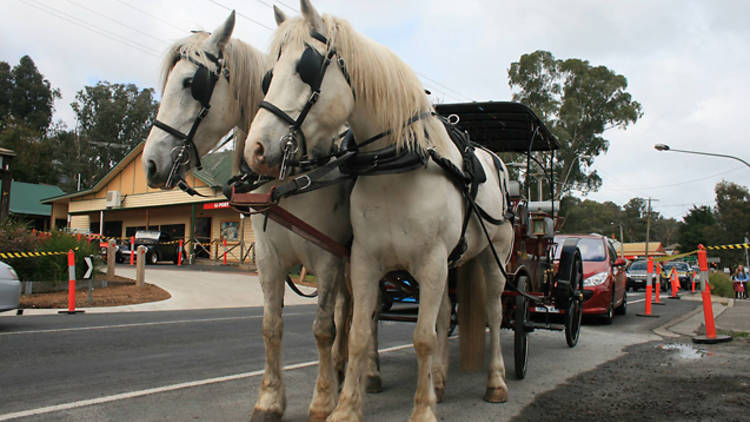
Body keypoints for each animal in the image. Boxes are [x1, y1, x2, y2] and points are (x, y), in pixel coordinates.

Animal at [142, 11, 364, 420]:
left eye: (193, 84)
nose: (151, 164)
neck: (291, 175)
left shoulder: (326, 257)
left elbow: (323, 328)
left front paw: (324, 401)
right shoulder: (268, 259)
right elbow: (270, 326)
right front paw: (269, 400)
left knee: (354, 313)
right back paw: (343, 368)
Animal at [247, 1, 516, 420]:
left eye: (306, 68)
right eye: (268, 76)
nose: (256, 150)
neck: (397, 166)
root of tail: (498, 162)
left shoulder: (430, 262)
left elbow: (422, 338)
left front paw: (422, 411)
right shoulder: (366, 261)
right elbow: (358, 333)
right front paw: (346, 407)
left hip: (493, 257)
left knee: (493, 314)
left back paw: (496, 383)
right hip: (450, 264)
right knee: (444, 314)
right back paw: (439, 381)